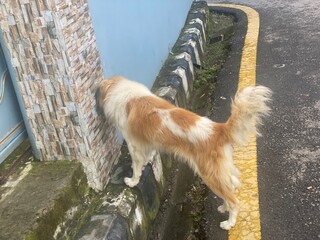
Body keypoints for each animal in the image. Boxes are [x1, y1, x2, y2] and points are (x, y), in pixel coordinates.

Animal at [95, 76, 272, 230]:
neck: (124, 92)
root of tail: (219, 129)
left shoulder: (133, 144)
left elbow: (136, 167)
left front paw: (132, 181)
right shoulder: (147, 141)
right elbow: (147, 156)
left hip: (209, 175)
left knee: (234, 200)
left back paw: (229, 223)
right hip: (219, 173)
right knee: (231, 188)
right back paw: (224, 207)